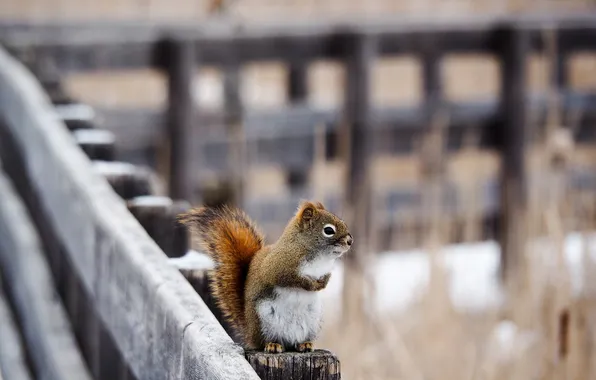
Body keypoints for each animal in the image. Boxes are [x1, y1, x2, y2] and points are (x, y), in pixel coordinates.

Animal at [179, 200, 352, 352]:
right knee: (265, 342)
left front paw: (323, 283)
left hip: (313, 319)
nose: (350, 241)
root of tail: (250, 334)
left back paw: (305, 344)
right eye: (328, 230)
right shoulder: (277, 267)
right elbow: (290, 279)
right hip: (263, 320)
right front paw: (310, 285)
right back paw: (273, 345)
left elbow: (326, 277)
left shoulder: (325, 270)